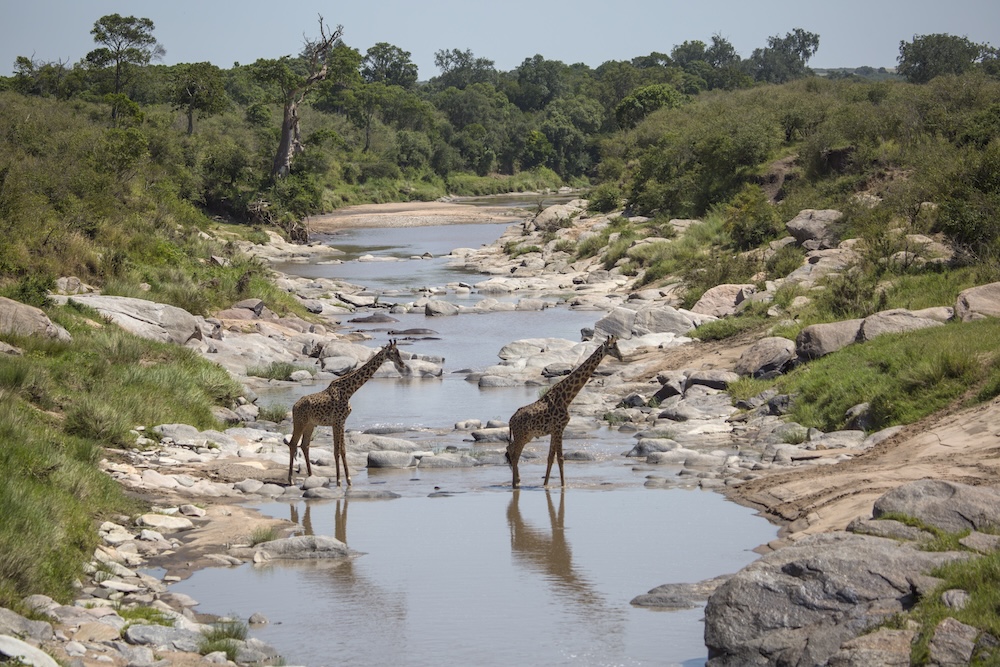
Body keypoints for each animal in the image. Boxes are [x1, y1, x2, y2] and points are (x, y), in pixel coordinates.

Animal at [285, 340, 407, 486]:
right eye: (393, 352)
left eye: (399, 351)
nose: (402, 364)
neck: (349, 391)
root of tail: (294, 406)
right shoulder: (337, 421)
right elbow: (337, 450)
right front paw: (340, 480)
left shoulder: (341, 422)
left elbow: (342, 450)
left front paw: (347, 480)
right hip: (300, 422)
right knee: (293, 443)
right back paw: (291, 480)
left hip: (310, 424)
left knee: (304, 445)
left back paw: (310, 475)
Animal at [505, 336, 623, 488]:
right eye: (610, 347)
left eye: (617, 345)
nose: (621, 357)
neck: (566, 398)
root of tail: (510, 420)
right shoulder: (559, 428)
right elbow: (560, 457)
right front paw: (563, 485)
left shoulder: (555, 430)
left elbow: (551, 457)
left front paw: (546, 484)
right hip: (522, 435)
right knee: (515, 454)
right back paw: (515, 483)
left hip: (526, 436)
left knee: (510, 448)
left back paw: (517, 481)